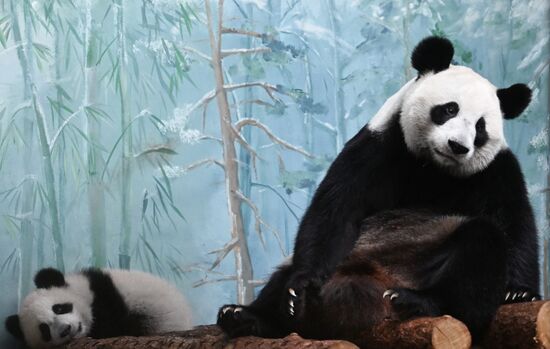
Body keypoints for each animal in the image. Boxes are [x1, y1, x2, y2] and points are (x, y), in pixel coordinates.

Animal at [218, 36, 540, 342]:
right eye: (449, 109)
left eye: (480, 127)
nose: (458, 146)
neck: (434, 168)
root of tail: (377, 284)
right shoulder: (378, 147)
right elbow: (335, 212)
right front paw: (300, 288)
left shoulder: (494, 171)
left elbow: (513, 223)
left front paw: (519, 293)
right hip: (349, 257)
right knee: (282, 277)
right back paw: (247, 315)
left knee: (480, 252)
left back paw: (418, 301)